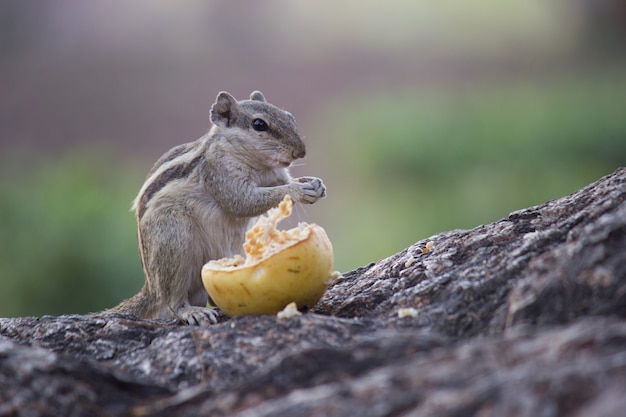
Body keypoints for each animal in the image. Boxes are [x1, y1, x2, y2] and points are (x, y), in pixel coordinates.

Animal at [111, 90, 326, 324]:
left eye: (289, 117)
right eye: (259, 124)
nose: (300, 152)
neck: (259, 165)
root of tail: (150, 288)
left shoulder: (275, 176)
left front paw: (316, 184)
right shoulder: (219, 173)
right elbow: (243, 202)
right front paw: (298, 190)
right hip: (173, 241)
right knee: (172, 299)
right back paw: (192, 311)